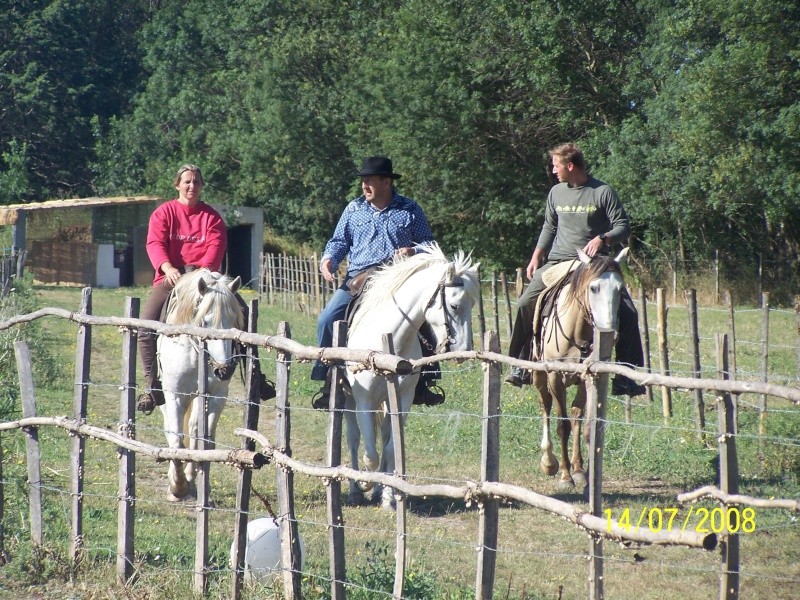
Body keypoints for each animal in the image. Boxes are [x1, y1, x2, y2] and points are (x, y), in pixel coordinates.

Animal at [156, 268, 242, 502]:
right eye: (205, 322)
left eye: (234, 321)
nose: (223, 370)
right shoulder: (175, 395)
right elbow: (176, 440)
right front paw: (177, 487)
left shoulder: (216, 396)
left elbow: (205, 440)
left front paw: (195, 482)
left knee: (194, 428)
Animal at [342, 244, 478, 510]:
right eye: (455, 306)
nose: (464, 350)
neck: (387, 340)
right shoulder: (363, 401)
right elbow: (370, 454)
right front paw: (365, 483)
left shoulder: (402, 401)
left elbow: (391, 449)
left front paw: (387, 498)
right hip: (348, 399)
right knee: (353, 438)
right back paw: (355, 490)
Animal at [536, 247, 628, 488]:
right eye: (594, 288)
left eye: (621, 289)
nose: (611, 332)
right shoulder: (554, 377)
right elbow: (563, 425)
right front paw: (565, 475)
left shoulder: (588, 376)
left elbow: (583, 423)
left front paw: (580, 471)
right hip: (539, 376)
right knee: (545, 406)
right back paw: (548, 461)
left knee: (575, 414)